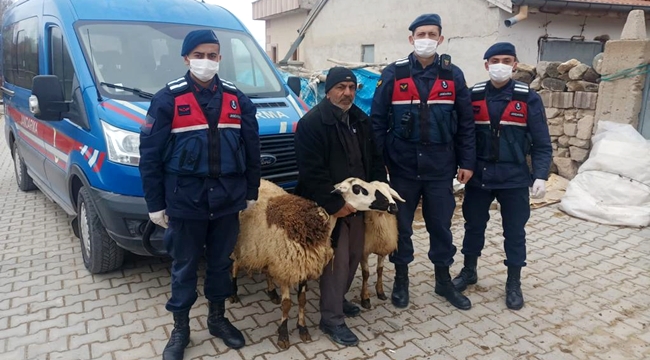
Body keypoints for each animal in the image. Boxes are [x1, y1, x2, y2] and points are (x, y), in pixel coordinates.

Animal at [228, 177, 400, 348]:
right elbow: (287, 304)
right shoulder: (288, 267)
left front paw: (303, 329)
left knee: (266, 270)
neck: (309, 222)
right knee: (234, 265)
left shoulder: (303, 264)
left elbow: (302, 300)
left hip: (267, 250)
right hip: (239, 243)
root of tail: (263, 180)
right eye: (358, 189)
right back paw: (234, 293)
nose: (392, 205)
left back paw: (272, 292)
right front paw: (283, 335)